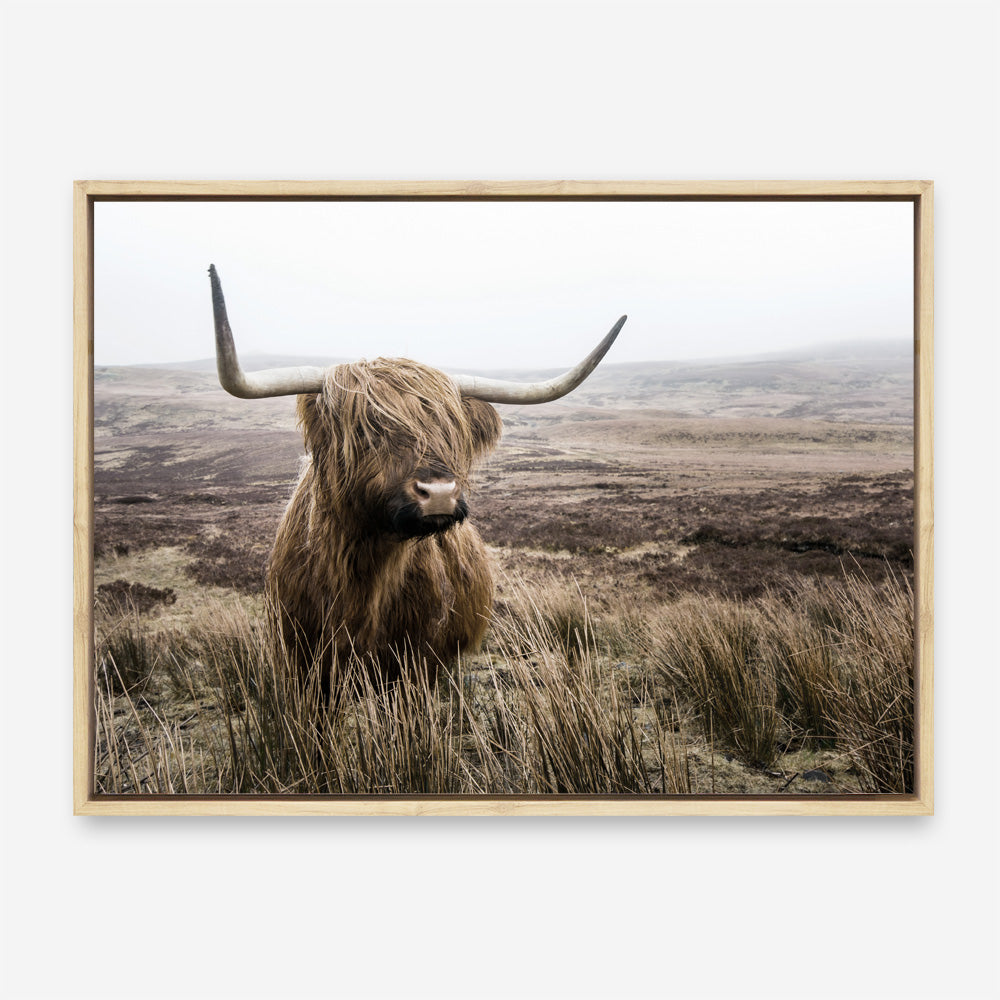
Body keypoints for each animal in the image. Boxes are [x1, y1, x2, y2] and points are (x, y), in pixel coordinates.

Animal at [208, 264, 625, 694]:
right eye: (366, 430)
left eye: (452, 430)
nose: (439, 493)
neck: (365, 574)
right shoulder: (302, 660)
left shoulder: (419, 663)